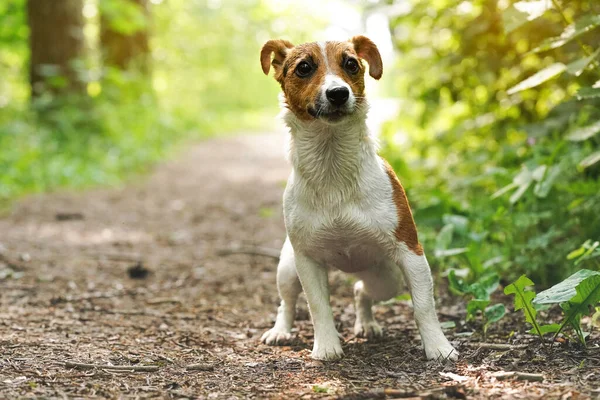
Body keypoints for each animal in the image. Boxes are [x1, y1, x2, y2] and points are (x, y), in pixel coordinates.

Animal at [258, 36, 460, 362]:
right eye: (304, 67)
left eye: (351, 64)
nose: (339, 93)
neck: (332, 165)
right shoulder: (307, 261)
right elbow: (318, 307)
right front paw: (327, 347)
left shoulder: (411, 253)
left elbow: (424, 307)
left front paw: (438, 347)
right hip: (287, 268)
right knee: (287, 302)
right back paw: (280, 330)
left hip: (385, 278)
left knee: (361, 292)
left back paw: (367, 323)